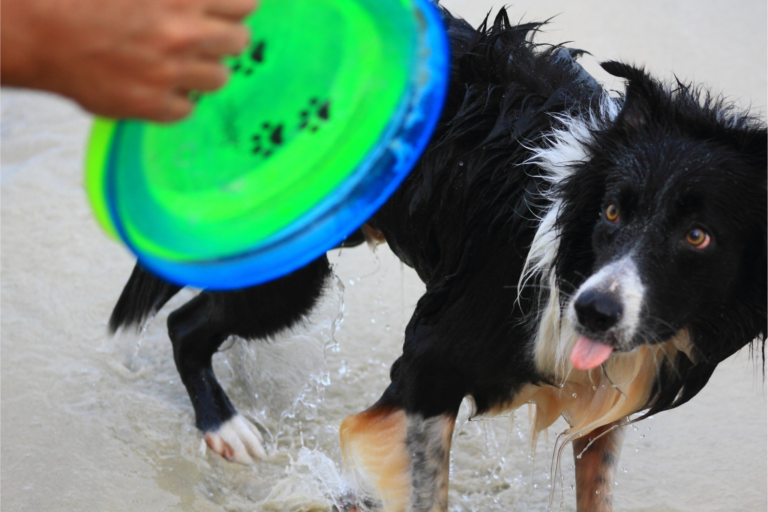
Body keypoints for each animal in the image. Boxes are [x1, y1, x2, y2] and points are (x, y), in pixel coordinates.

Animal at [109, 8, 768, 512]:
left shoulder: (607, 401)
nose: (594, 312)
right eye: (612, 212)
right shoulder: (430, 368)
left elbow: (598, 487)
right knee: (185, 323)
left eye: (698, 236)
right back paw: (226, 428)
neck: (568, 252)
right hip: (287, 271)